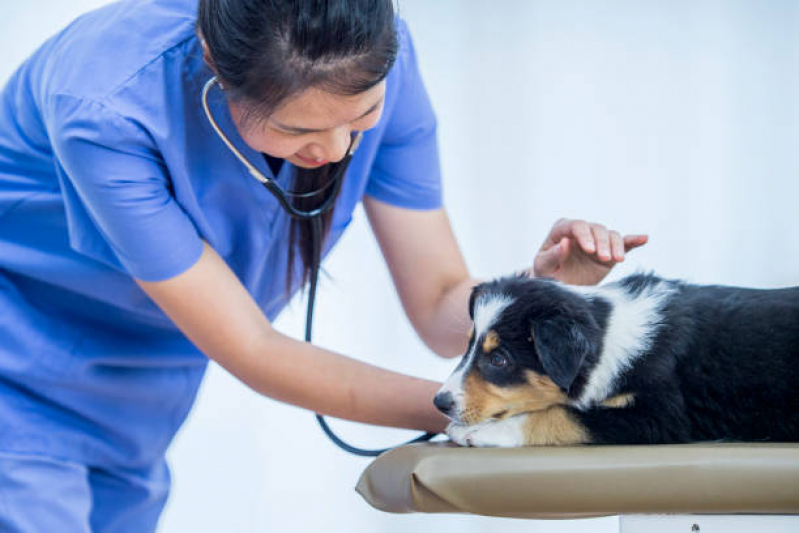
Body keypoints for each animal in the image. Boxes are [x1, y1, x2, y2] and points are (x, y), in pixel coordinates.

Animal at [438, 272, 799, 446]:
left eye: (499, 359)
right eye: (467, 346)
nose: (439, 402)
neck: (606, 336)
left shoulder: (659, 416)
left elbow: (562, 416)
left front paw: (479, 432)